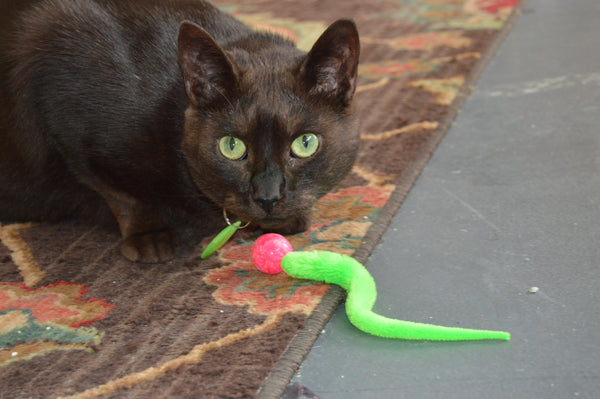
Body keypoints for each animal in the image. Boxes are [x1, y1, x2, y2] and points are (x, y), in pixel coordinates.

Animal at [0, 0, 360, 262]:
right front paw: (149, 235)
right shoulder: (57, 90)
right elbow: (121, 194)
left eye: (305, 143)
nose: (268, 197)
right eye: (231, 146)